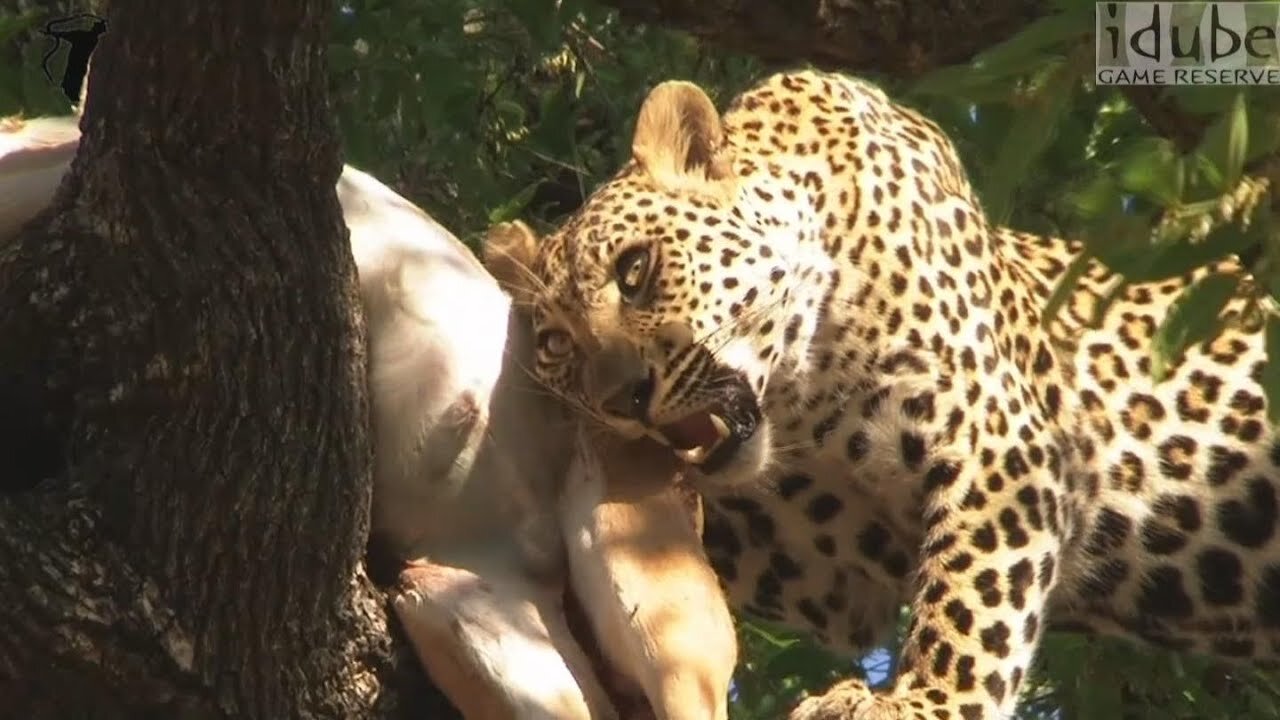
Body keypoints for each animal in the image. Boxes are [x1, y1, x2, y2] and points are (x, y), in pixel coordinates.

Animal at [481, 67, 1280, 717]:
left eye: (636, 269)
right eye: (556, 345)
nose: (622, 401)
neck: (802, 385)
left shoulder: (998, 445)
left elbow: (970, 599)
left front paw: (925, 701)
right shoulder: (820, 566)